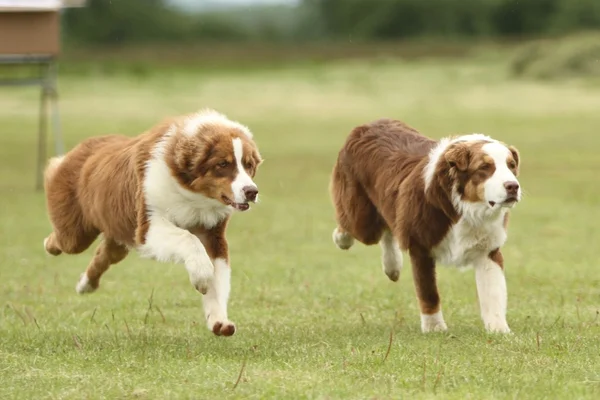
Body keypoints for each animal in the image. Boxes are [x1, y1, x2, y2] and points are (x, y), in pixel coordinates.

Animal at [43, 108, 262, 336]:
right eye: (223, 164)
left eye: (248, 165)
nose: (252, 192)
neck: (192, 193)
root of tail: (83, 146)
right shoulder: (148, 225)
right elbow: (188, 239)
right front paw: (202, 277)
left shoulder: (213, 233)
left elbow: (219, 277)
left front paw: (218, 320)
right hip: (75, 234)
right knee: (62, 239)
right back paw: (50, 243)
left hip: (119, 234)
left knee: (103, 255)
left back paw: (85, 285)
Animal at [330, 119, 524, 334]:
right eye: (484, 167)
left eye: (511, 166)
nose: (513, 186)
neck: (463, 208)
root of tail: (368, 124)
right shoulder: (420, 246)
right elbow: (428, 292)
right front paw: (434, 328)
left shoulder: (488, 249)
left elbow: (493, 293)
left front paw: (500, 330)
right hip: (363, 220)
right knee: (353, 226)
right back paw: (343, 239)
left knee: (390, 228)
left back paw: (392, 267)